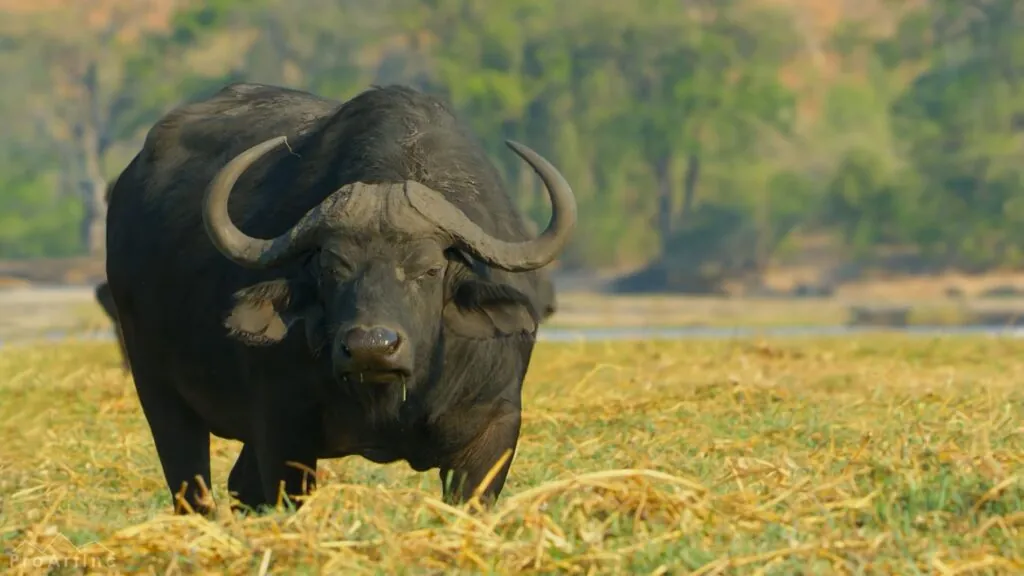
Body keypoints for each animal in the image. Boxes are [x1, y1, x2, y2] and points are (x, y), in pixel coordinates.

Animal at [108, 83, 581, 512]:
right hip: (157, 389)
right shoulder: (281, 429)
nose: (371, 346)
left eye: (429, 269)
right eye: (332, 267)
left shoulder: (493, 429)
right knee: (192, 485)